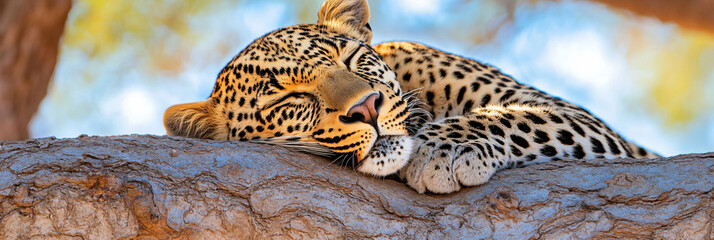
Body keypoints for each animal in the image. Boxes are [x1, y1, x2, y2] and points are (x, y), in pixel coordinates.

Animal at [161, 0, 656, 193]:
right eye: (288, 101)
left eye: (350, 58)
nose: (366, 107)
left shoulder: (588, 123)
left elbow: (516, 116)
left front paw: (443, 149)